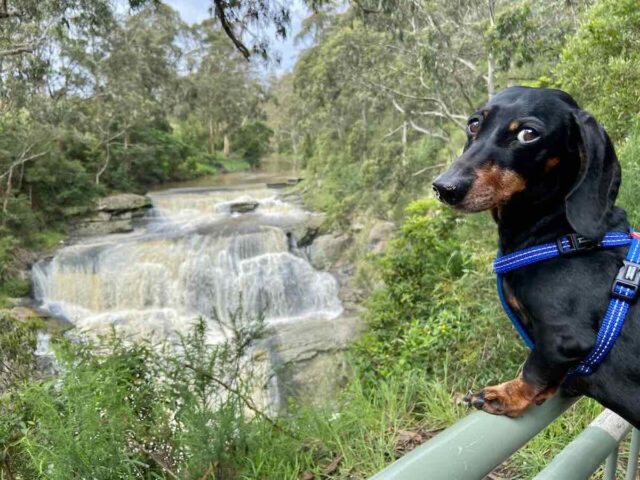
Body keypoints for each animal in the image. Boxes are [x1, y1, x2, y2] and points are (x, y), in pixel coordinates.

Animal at [432, 86, 636, 428]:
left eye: (528, 134)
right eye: (474, 123)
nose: (444, 187)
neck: (559, 234)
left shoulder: (562, 337)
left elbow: (534, 369)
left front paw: (506, 395)